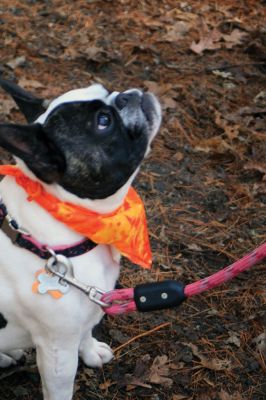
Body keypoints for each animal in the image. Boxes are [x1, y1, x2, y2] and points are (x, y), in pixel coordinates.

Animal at [0, 79, 162, 400]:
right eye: (103, 121)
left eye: (108, 90)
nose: (129, 95)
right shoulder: (57, 351)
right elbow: (61, 389)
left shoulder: (92, 301)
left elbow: (87, 329)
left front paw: (90, 351)